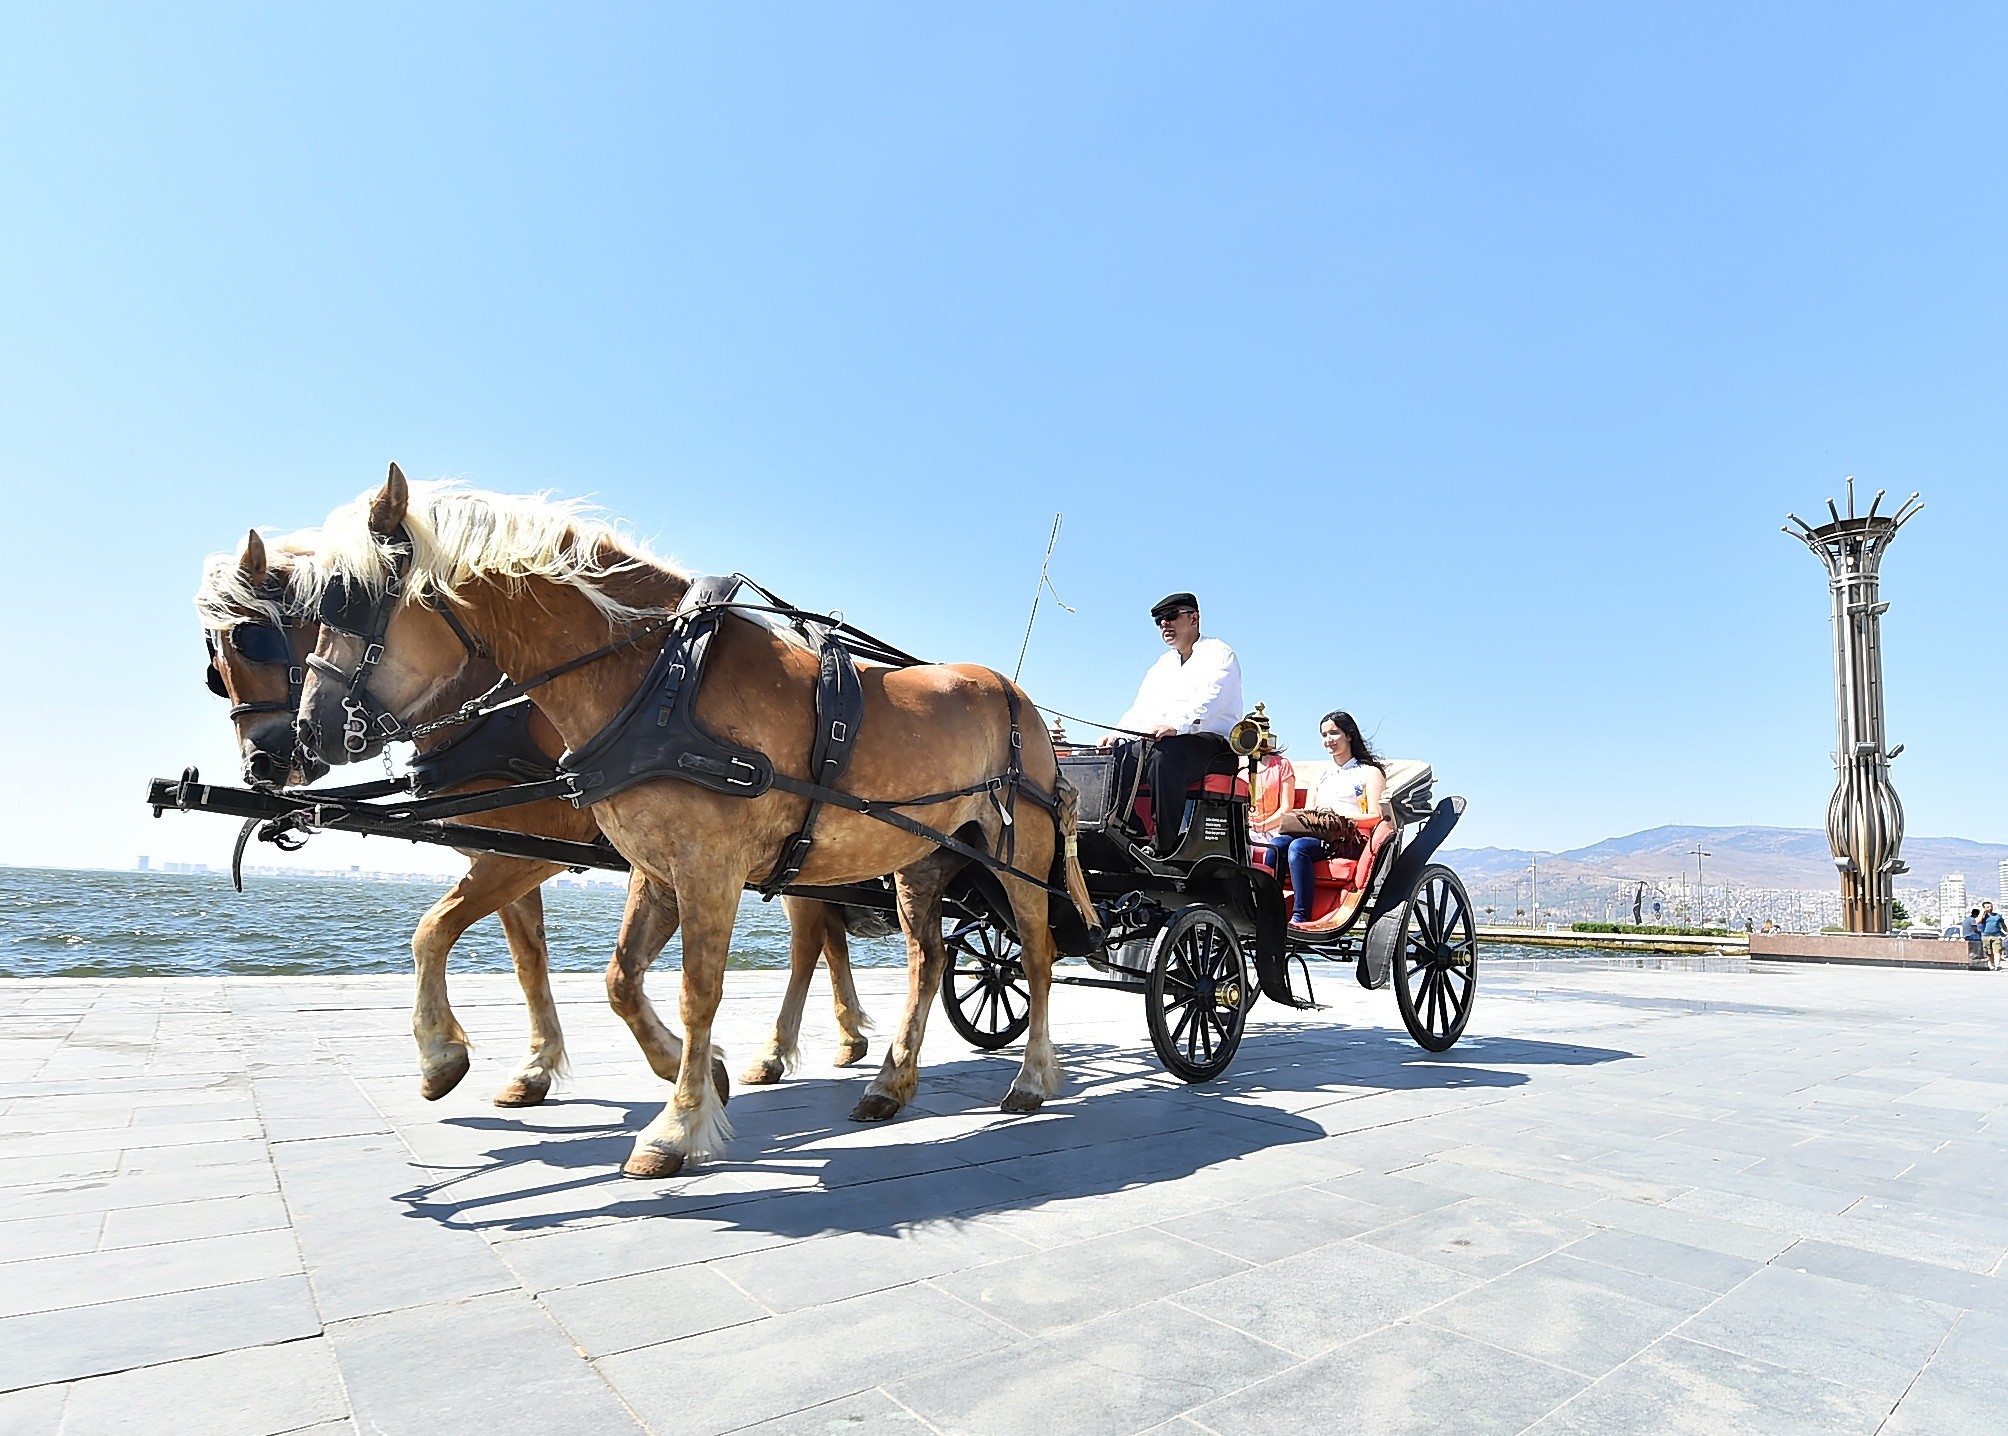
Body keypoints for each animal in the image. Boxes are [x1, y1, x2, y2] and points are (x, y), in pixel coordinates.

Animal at [195, 526, 871, 1100]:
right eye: (215, 668)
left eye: (253, 637)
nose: (263, 762)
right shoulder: (507, 852)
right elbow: (527, 959)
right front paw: (537, 1065)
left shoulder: (534, 851)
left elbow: (434, 929)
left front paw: (443, 1056)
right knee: (826, 936)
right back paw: (839, 1039)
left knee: (810, 943)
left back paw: (787, 1049)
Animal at [291, 471, 1092, 1180]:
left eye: (348, 598)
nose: (308, 732)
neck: (659, 678)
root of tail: (1020, 700)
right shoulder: (654, 866)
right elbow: (618, 979)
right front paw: (690, 1069)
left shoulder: (706, 865)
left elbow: (697, 989)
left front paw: (676, 1126)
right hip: (919, 862)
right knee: (927, 960)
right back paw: (889, 1085)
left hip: (1021, 855)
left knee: (1038, 954)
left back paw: (1029, 1079)